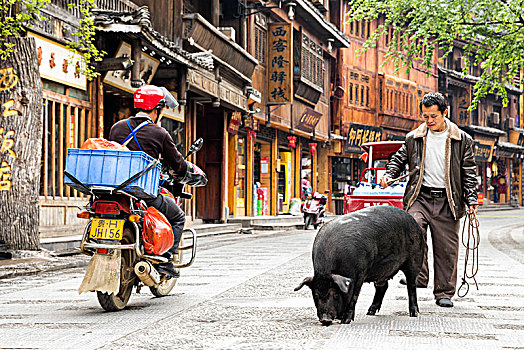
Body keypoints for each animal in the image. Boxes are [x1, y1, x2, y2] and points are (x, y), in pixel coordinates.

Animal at [292, 205, 424, 326]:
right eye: (315, 295)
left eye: (335, 294)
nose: (325, 319)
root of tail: (412, 219)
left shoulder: (360, 274)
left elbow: (354, 296)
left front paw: (345, 321)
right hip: (381, 271)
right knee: (383, 286)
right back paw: (370, 312)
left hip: (415, 258)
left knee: (411, 285)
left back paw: (414, 313)